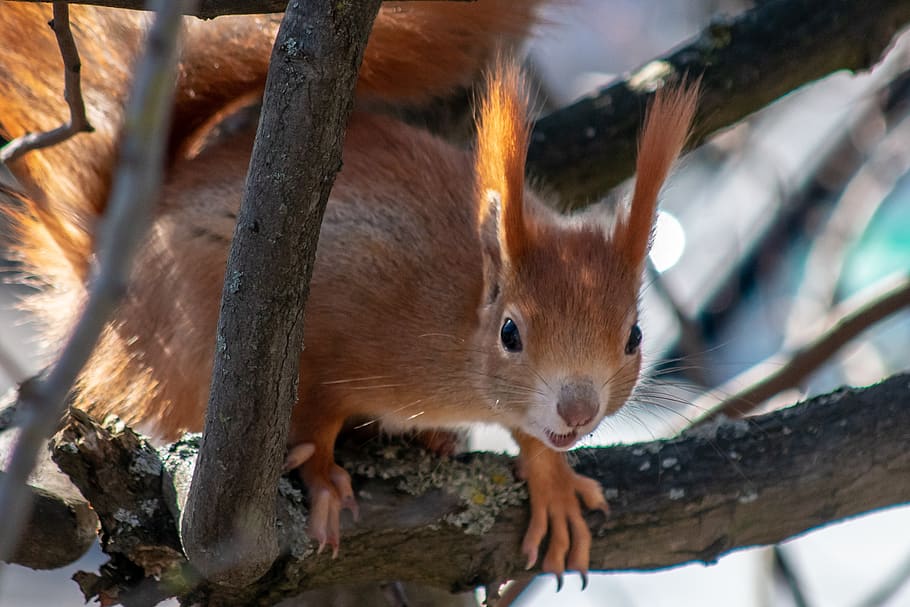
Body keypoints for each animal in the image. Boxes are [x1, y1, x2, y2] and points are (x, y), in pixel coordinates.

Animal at [0, 1, 697, 581]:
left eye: (634, 336)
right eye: (510, 333)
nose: (578, 410)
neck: (454, 309)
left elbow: (530, 434)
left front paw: (552, 481)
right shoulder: (328, 340)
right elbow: (316, 412)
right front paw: (323, 478)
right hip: (187, 335)